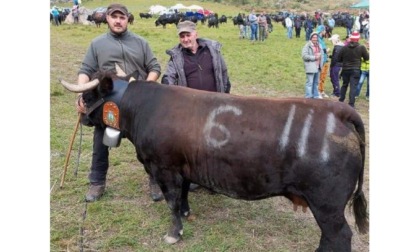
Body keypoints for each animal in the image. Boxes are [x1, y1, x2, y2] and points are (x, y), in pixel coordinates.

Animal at [59, 69, 368, 252]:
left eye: (90, 94)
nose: (81, 112)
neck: (143, 108)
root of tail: (339, 111)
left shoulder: (165, 167)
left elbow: (171, 201)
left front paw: (174, 233)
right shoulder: (183, 168)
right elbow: (182, 196)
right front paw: (186, 213)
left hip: (327, 203)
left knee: (339, 235)